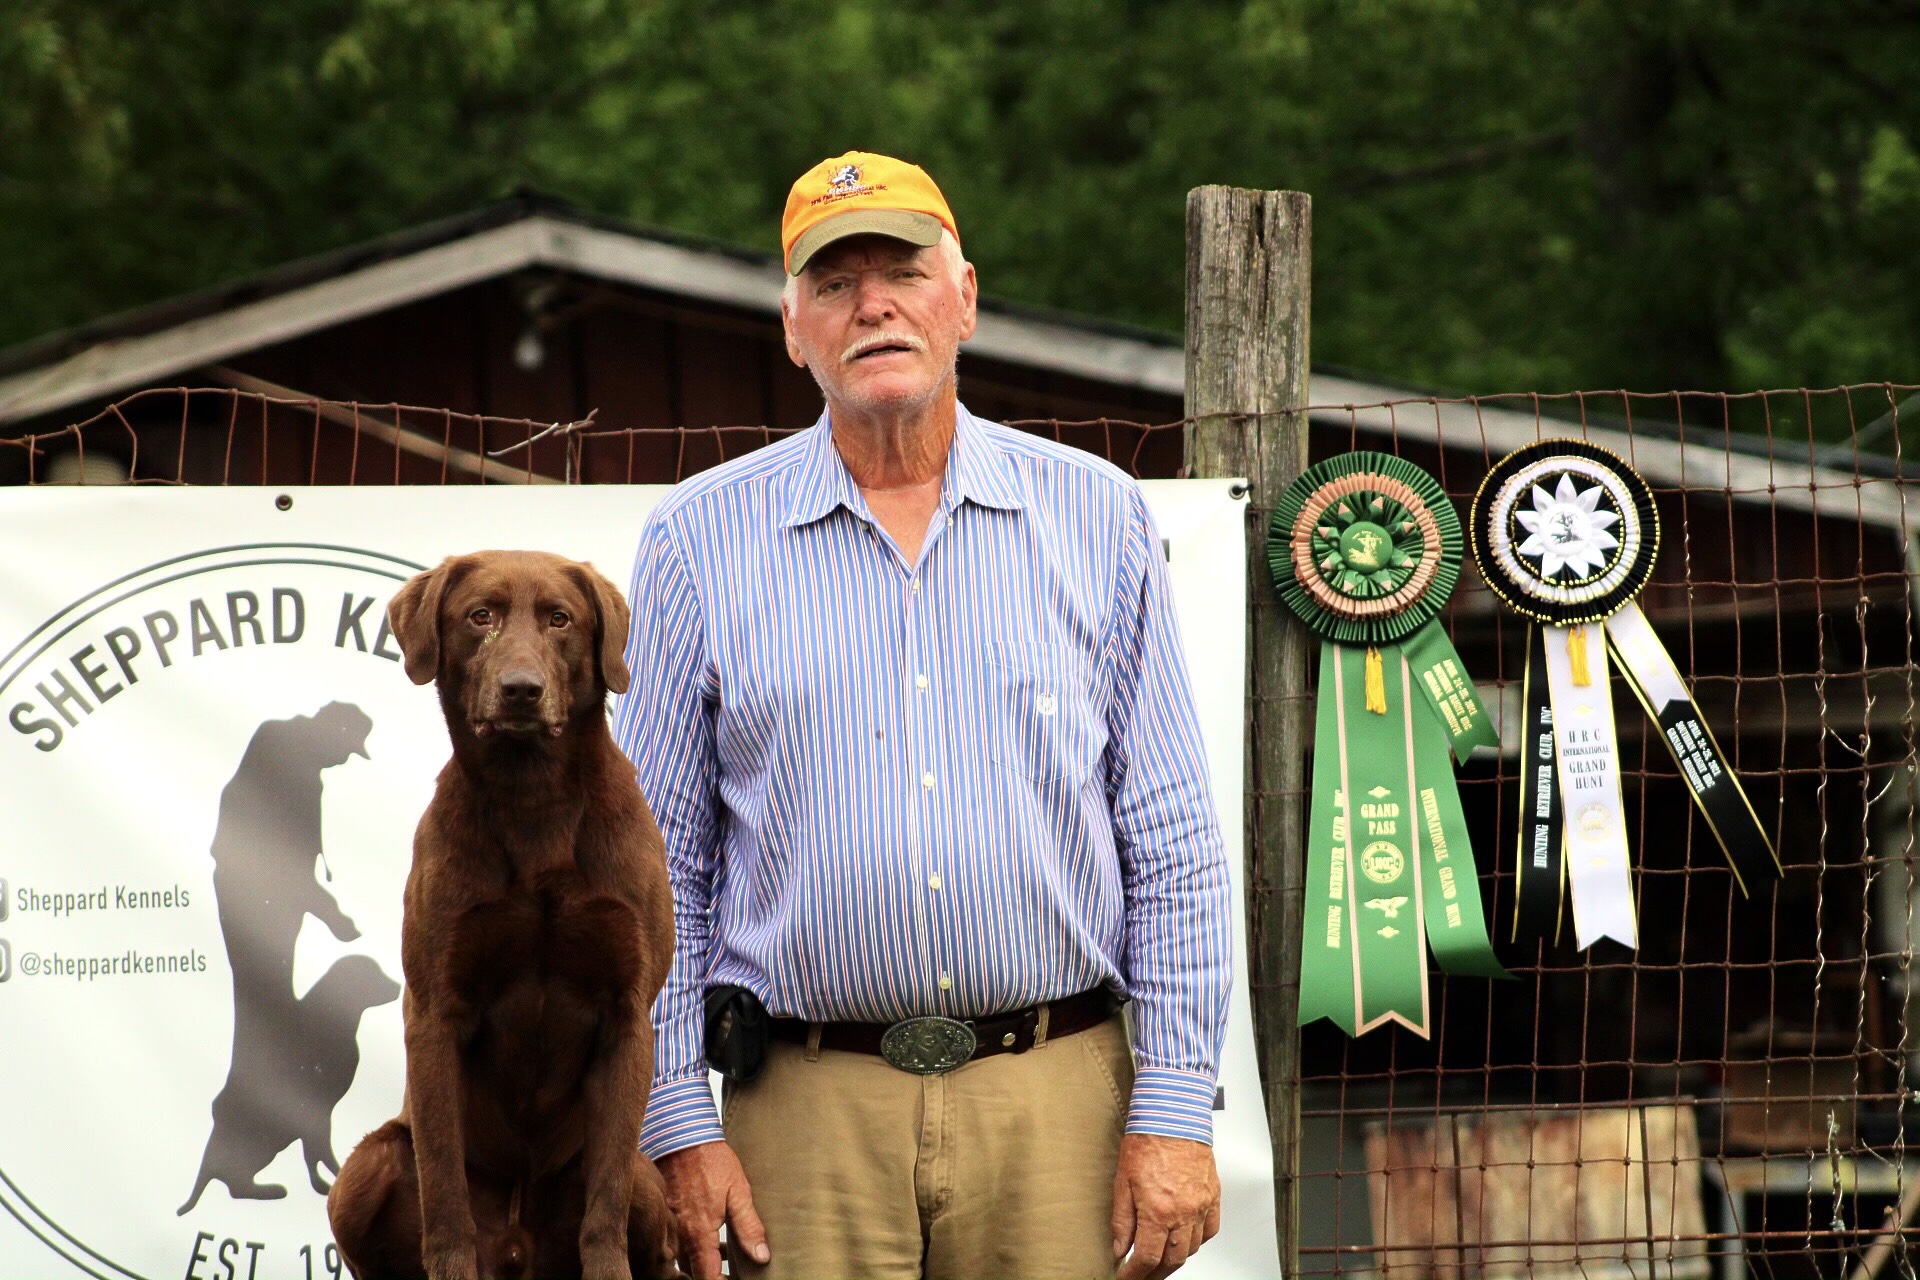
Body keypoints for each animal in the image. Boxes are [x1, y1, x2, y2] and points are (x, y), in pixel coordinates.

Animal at [318, 552, 672, 1280]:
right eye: (480, 615)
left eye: (560, 619)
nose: (521, 690)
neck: (533, 800)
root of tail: (517, 1246)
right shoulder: (434, 1012)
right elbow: (445, 1191)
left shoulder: (628, 1016)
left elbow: (605, 1206)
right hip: (364, 1169)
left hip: (650, 1183)